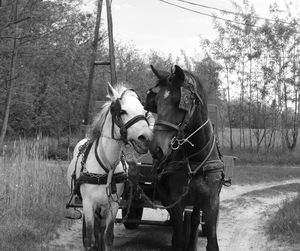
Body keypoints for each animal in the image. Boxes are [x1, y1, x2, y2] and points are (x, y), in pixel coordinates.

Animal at [67, 82, 152, 249]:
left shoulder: (113, 204)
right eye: (122, 111)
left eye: (144, 112)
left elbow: (107, 237)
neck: (106, 165)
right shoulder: (88, 204)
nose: (146, 137)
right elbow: (89, 239)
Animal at [145, 65, 225, 251]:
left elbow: (211, 241)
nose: (156, 148)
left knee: (194, 219)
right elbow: (178, 236)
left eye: (181, 101)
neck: (196, 159)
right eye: (156, 101)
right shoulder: (176, 201)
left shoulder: (212, 201)